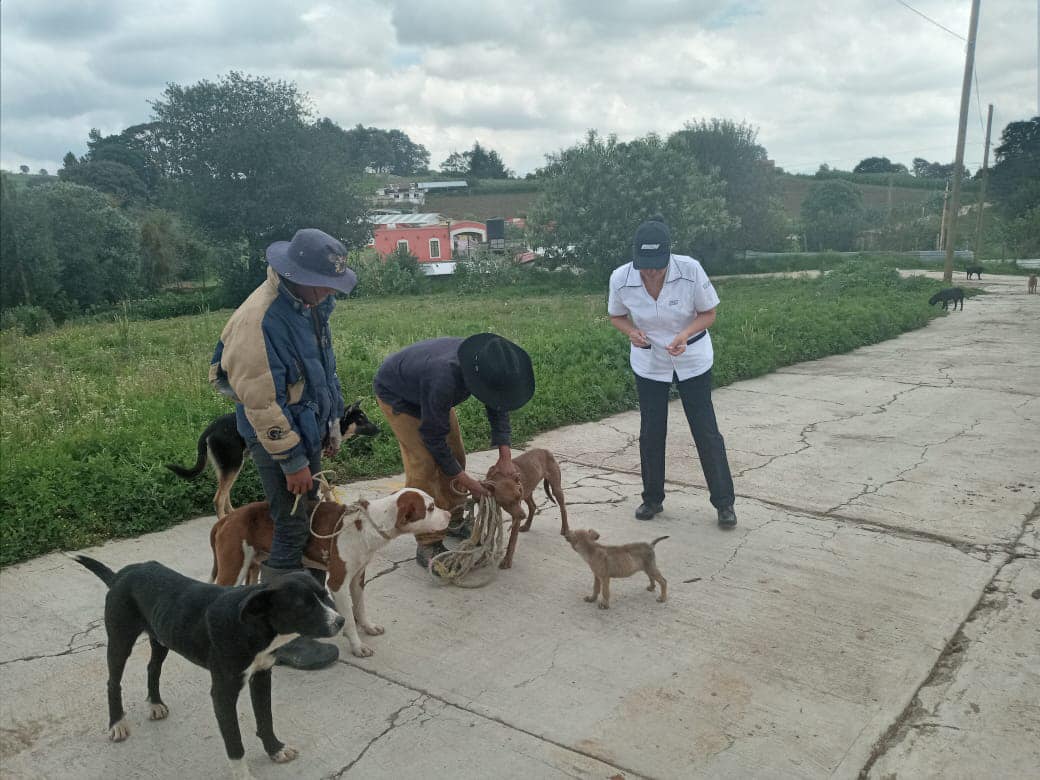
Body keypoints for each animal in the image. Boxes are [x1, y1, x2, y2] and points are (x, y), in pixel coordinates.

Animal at [78, 553, 345, 777]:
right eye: (303, 606)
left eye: (324, 595)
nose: (341, 621)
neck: (252, 625)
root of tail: (121, 574)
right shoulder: (223, 693)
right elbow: (235, 742)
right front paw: (243, 775)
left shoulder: (261, 675)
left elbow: (265, 718)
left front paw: (275, 749)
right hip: (120, 639)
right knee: (113, 682)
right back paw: (117, 723)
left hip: (161, 636)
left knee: (152, 668)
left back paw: (154, 704)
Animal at [168, 399, 380, 522]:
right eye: (361, 420)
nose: (379, 429)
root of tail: (210, 428)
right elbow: (323, 485)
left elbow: (325, 485)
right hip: (233, 464)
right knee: (218, 498)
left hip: (230, 466)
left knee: (224, 493)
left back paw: (233, 514)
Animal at [209, 490, 449, 657]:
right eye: (430, 508)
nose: (448, 513)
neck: (367, 525)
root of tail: (226, 518)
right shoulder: (338, 583)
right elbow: (350, 619)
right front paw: (357, 646)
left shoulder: (357, 578)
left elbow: (360, 607)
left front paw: (368, 627)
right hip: (233, 569)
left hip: (253, 564)